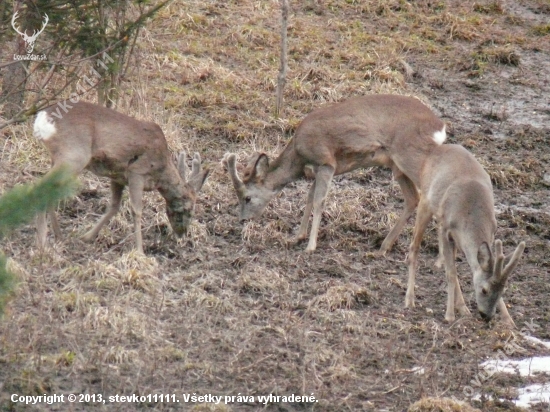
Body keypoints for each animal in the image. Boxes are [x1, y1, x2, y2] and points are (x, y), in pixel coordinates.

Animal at [33, 101, 209, 253]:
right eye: (189, 210)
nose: (182, 233)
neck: (161, 170)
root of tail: (42, 117)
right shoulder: (137, 172)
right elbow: (137, 210)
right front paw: (140, 251)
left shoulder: (117, 177)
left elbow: (114, 206)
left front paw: (87, 237)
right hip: (74, 154)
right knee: (40, 184)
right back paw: (42, 242)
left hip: (59, 158)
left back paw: (58, 235)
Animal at [223, 94, 448, 253]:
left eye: (247, 197)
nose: (242, 220)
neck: (298, 156)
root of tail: (440, 127)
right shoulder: (317, 169)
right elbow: (309, 198)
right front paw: (297, 237)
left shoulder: (326, 161)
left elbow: (318, 201)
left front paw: (310, 246)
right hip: (397, 166)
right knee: (413, 198)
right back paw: (384, 247)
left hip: (411, 156)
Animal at [408, 143, 528, 326]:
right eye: (484, 290)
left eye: (502, 291)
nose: (487, 315)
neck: (471, 212)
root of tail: (438, 148)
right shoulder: (446, 229)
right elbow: (451, 273)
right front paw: (449, 315)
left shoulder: (489, 232)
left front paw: (509, 321)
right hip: (426, 203)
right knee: (414, 247)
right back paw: (410, 300)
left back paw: (463, 308)